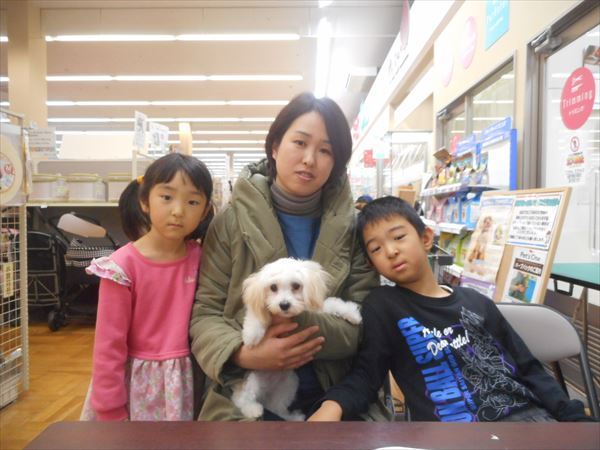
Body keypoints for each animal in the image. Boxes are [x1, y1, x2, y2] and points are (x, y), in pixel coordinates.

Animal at [231, 257, 362, 421]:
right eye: (273, 287)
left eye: (296, 286)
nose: (284, 305)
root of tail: (266, 392)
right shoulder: (264, 308)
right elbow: (257, 316)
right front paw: (252, 334)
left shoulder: (316, 310)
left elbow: (333, 303)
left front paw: (352, 314)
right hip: (254, 379)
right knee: (242, 397)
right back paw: (253, 409)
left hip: (288, 385)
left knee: (276, 407)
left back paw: (293, 417)